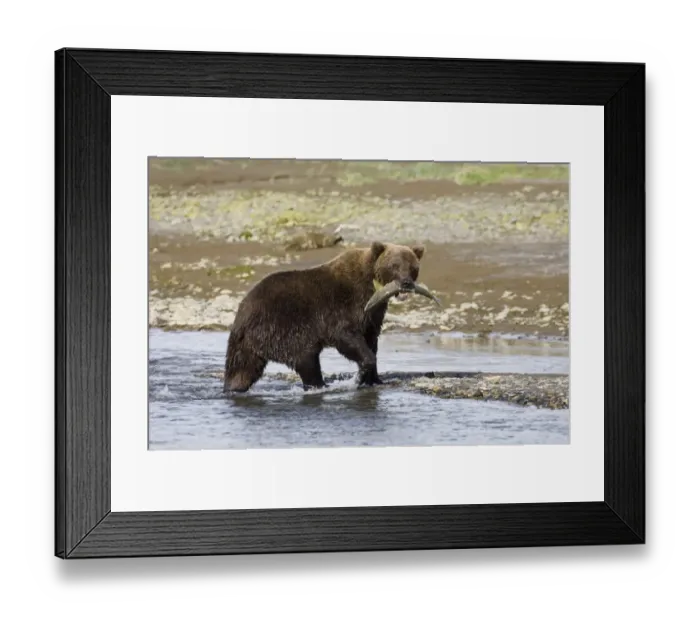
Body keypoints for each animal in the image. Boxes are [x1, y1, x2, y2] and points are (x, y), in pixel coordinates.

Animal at [223, 241, 440, 393]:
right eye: (395, 265)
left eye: (412, 266)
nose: (406, 283)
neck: (372, 285)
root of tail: (241, 314)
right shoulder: (345, 307)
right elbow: (347, 338)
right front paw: (362, 373)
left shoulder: (373, 316)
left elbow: (371, 340)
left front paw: (376, 380)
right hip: (282, 326)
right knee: (306, 358)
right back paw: (320, 385)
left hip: (250, 344)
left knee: (244, 368)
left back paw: (234, 386)